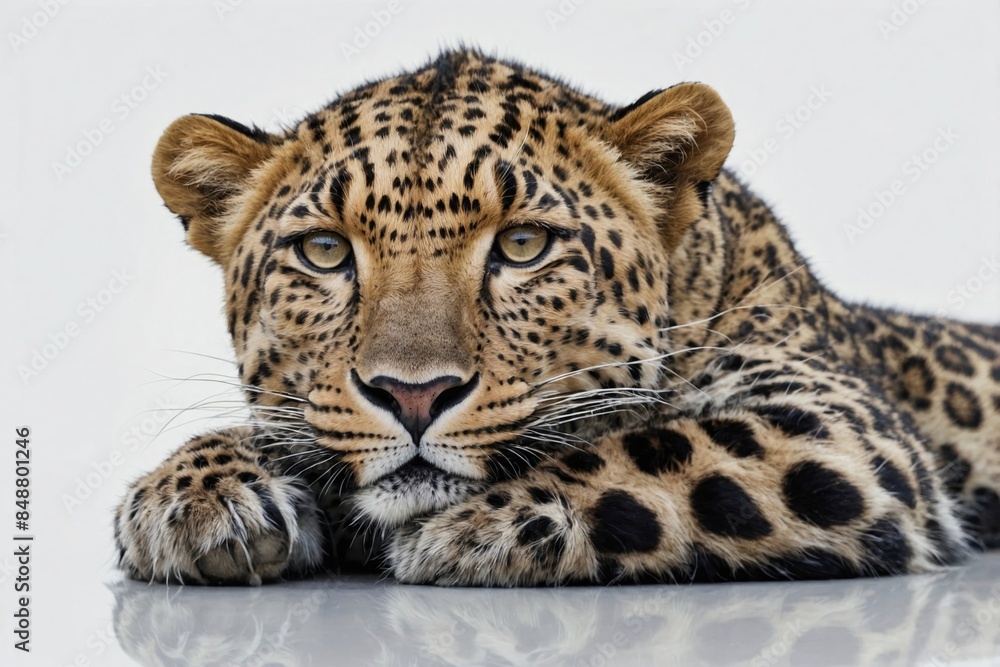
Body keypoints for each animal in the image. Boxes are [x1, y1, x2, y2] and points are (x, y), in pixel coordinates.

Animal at [114, 48, 1000, 587]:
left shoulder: (846, 425)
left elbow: (652, 447)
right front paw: (190, 493)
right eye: (326, 252)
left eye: (524, 244)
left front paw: (471, 526)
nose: (412, 396)